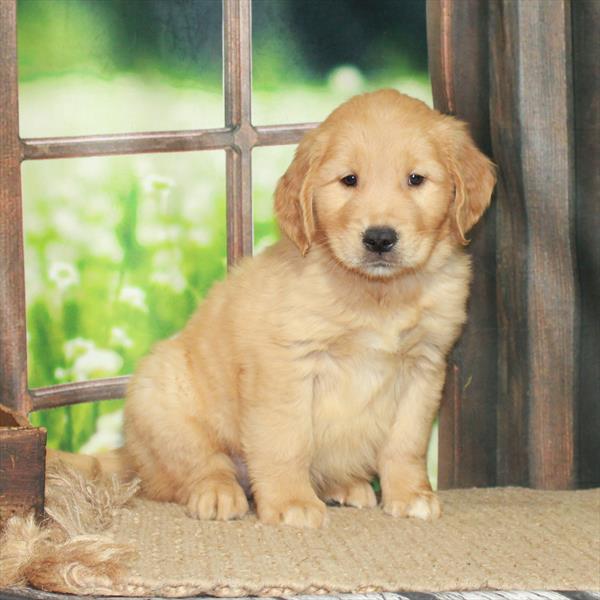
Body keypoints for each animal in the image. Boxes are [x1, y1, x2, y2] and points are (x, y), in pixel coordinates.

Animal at [120, 88, 492, 524]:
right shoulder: (287, 365)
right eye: (349, 180)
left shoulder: (424, 367)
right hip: (161, 396)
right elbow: (286, 440)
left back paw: (345, 487)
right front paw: (290, 502)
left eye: (416, 179)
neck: (377, 293)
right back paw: (217, 493)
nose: (379, 239)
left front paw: (410, 493)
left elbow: (407, 442)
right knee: (197, 466)